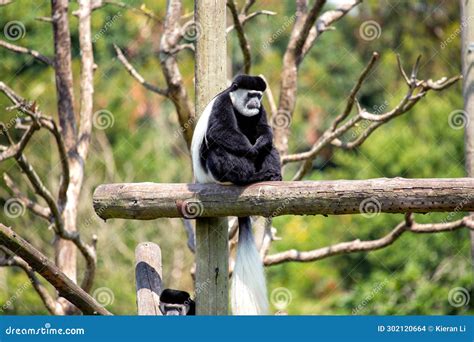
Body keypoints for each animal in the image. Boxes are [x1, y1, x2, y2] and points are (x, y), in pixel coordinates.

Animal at [192, 75, 284, 316]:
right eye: (250, 94)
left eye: (259, 96)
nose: (255, 102)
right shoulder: (222, 104)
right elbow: (220, 130)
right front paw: (251, 150)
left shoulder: (260, 112)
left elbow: (264, 130)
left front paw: (260, 144)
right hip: (215, 172)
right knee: (218, 149)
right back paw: (250, 177)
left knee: (270, 147)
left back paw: (272, 175)